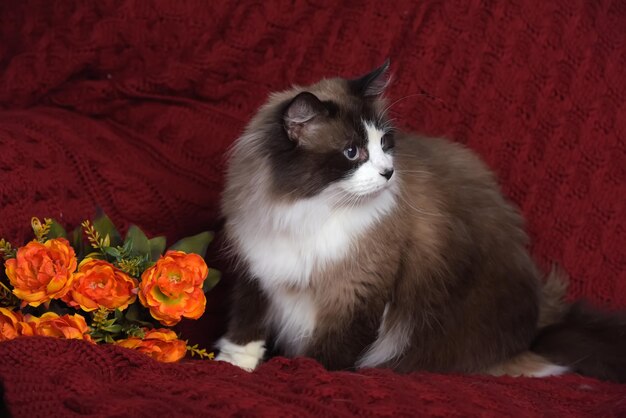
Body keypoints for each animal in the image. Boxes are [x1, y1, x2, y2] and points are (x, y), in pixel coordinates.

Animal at [213, 61, 624, 382]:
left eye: (385, 143)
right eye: (352, 152)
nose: (388, 172)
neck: (311, 210)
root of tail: (540, 321)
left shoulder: (358, 293)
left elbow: (327, 354)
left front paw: (299, 369)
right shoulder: (259, 268)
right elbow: (245, 329)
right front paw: (235, 367)